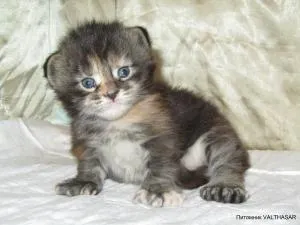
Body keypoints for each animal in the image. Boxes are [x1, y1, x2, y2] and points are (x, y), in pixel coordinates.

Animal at [43, 21, 250, 207]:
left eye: (123, 72)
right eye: (88, 83)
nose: (111, 94)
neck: (118, 122)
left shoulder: (162, 137)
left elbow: (160, 165)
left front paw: (157, 190)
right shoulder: (87, 143)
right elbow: (88, 164)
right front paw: (83, 181)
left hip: (215, 130)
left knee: (227, 159)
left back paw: (224, 185)